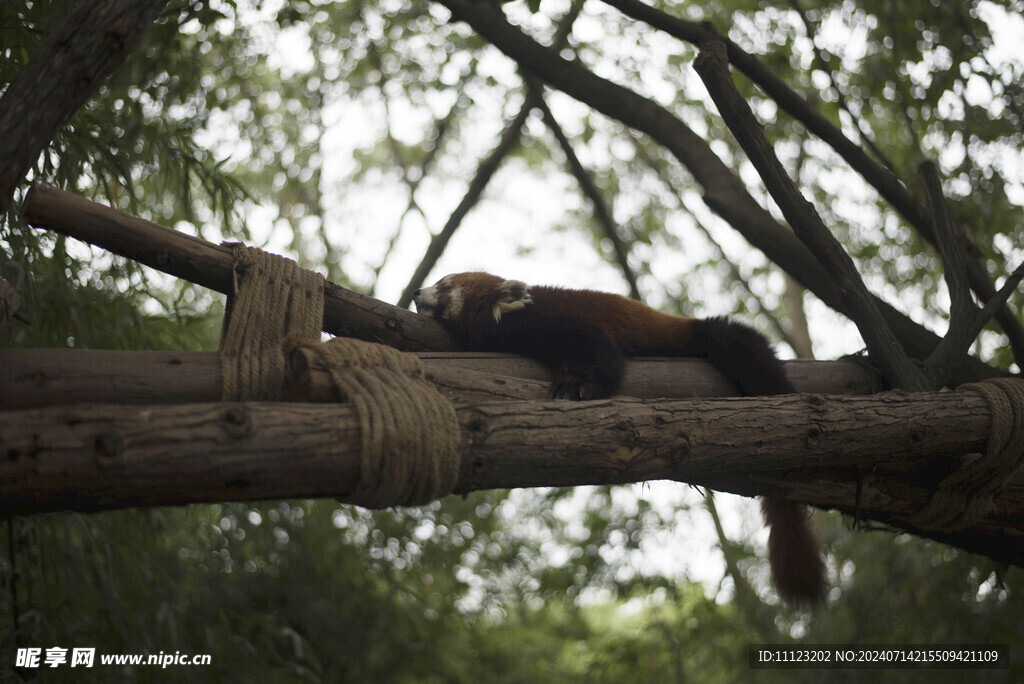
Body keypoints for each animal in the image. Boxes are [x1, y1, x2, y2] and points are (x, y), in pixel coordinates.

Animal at [411, 270, 827, 602]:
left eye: (444, 285)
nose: (415, 291)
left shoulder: (546, 322)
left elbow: (600, 351)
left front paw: (576, 384)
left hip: (704, 336)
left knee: (739, 345)